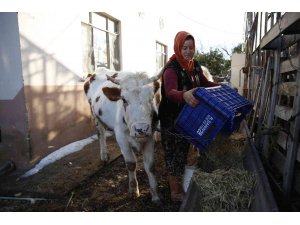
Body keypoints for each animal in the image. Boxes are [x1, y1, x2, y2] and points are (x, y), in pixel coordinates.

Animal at [83, 67, 163, 202]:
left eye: (151, 98)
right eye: (124, 100)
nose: (141, 129)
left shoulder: (149, 137)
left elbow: (150, 166)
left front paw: (155, 195)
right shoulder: (121, 137)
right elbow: (131, 164)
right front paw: (133, 190)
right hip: (95, 115)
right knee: (101, 134)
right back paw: (104, 155)